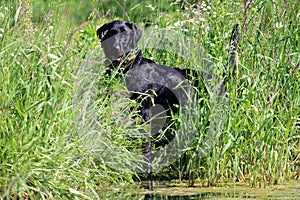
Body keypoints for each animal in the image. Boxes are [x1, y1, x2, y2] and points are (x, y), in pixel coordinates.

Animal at [96, 20, 195, 191]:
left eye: (125, 35)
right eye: (110, 33)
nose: (115, 47)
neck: (127, 67)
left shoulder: (145, 114)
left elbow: (146, 146)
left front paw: (146, 171)